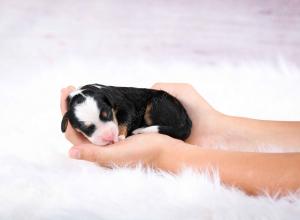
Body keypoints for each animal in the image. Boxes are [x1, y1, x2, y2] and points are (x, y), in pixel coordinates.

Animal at [61, 84, 192, 146]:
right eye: (86, 128)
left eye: (108, 114)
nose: (109, 137)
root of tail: (187, 122)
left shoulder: (125, 105)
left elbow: (124, 120)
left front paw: (120, 136)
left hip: (157, 103)